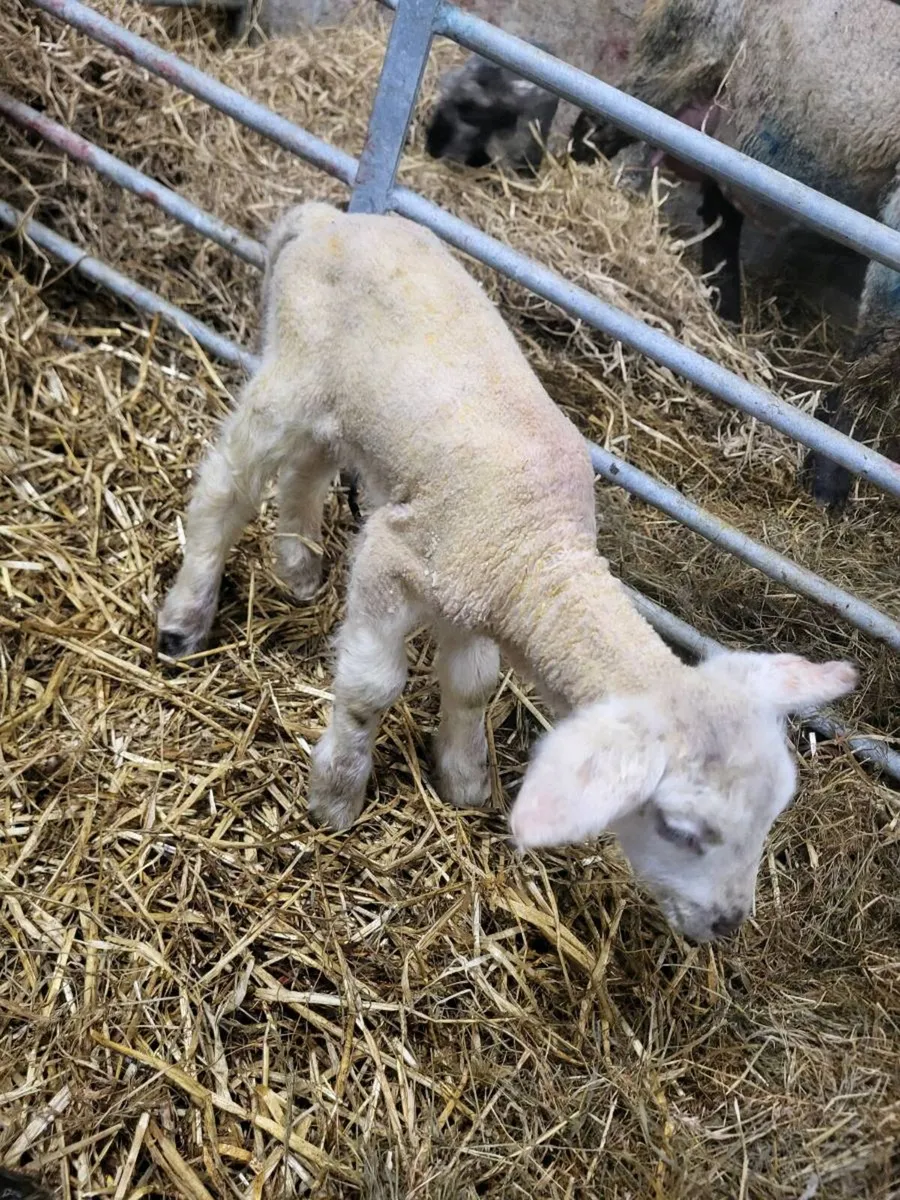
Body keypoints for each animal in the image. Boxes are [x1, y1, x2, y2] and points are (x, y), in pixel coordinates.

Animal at [157, 201, 858, 943]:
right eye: (679, 828)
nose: (727, 925)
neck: (539, 549)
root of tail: (329, 219)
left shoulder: (476, 601)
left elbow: (473, 687)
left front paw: (464, 781)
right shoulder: (393, 558)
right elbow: (371, 690)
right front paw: (337, 795)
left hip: (342, 411)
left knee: (305, 472)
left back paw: (297, 567)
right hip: (289, 380)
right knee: (225, 489)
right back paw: (186, 617)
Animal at [568, 0, 900, 509]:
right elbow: (877, 361)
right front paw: (828, 485)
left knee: (720, 204)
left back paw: (724, 311)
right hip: (680, 56)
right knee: (596, 127)